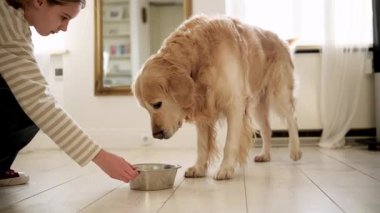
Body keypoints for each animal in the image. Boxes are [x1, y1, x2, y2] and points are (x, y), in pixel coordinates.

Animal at [134, 15, 302, 180]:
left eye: (157, 104)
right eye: (146, 109)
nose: (156, 135)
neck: (201, 52)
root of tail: (281, 39)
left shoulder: (235, 103)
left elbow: (230, 143)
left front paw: (225, 169)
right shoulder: (202, 106)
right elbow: (201, 145)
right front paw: (198, 168)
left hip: (279, 92)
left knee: (292, 118)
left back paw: (295, 150)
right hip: (257, 104)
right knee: (267, 128)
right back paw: (265, 155)